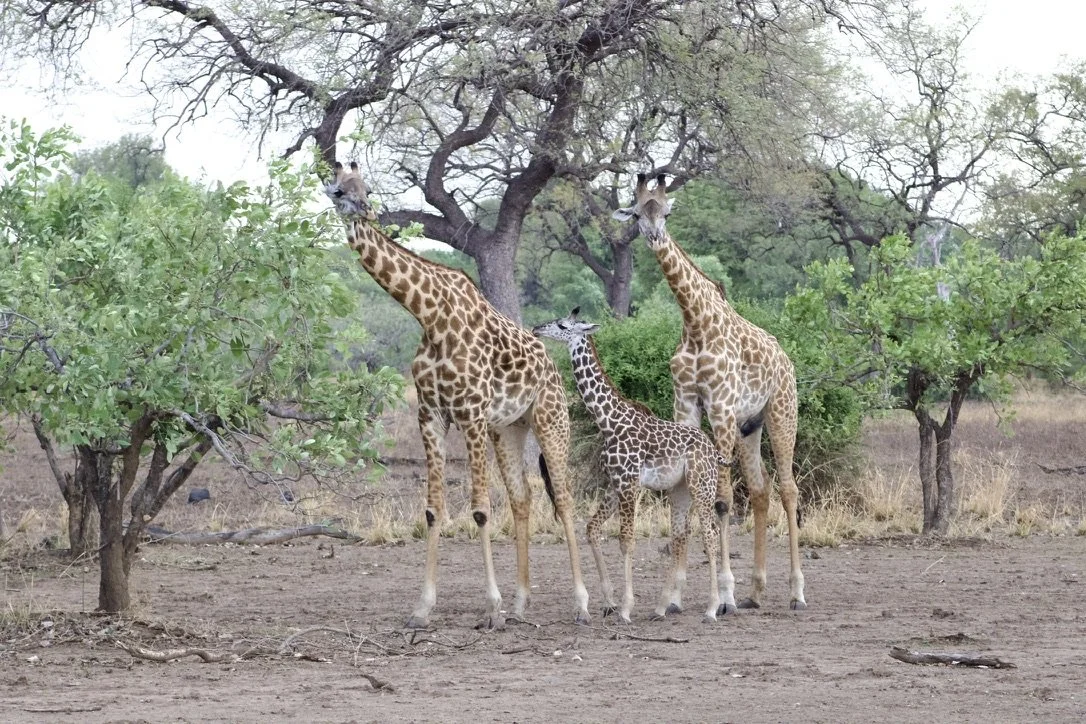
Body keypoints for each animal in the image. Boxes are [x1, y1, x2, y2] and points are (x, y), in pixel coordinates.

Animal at [324, 161, 591, 629]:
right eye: (338, 190)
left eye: (367, 188)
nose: (364, 211)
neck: (428, 315)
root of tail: (552, 366)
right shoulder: (431, 415)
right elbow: (433, 509)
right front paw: (423, 608)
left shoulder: (470, 414)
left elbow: (480, 508)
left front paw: (491, 608)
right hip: (508, 429)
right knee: (522, 498)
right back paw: (522, 603)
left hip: (551, 420)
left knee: (564, 498)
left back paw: (582, 603)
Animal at [533, 308, 732, 623]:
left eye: (563, 325)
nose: (537, 329)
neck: (608, 421)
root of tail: (713, 450)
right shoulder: (615, 482)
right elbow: (592, 529)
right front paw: (609, 602)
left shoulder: (629, 482)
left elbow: (626, 540)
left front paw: (626, 609)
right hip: (680, 489)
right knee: (680, 536)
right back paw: (661, 607)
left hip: (703, 484)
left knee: (709, 534)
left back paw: (712, 608)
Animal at [613, 172, 806, 612]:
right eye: (637, 213)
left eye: (666, 212)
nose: (654, 236)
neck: (695, 323)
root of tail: (786, 359)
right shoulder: (685, 404)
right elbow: (681, 498)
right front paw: (674, 595)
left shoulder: (719, 407)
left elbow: (720, 500)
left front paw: (724, 595)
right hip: (750, 426)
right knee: (760, 489)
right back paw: (756, 591)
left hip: (781, 412)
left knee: (788, 488)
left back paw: (796, 591)